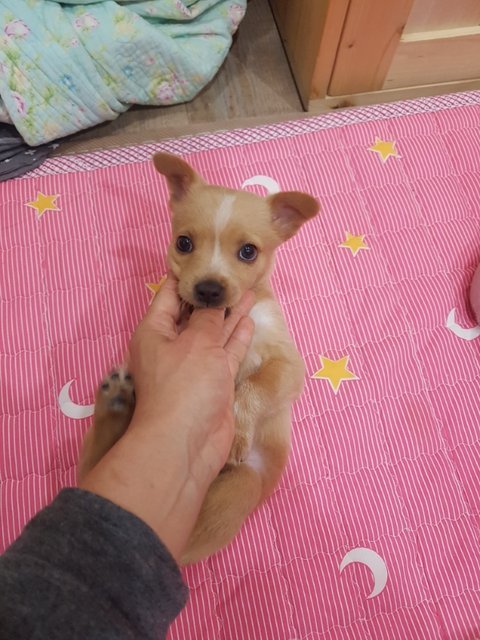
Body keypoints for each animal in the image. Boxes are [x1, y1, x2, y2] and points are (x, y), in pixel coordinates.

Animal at [77, 152, 319, 565]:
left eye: (249, 251)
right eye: (183, 243)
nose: (208, 289)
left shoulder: (288, 366)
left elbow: (254, 386)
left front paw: (237, 430)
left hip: (228, 496)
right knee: (93, 466)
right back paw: (115, 405)